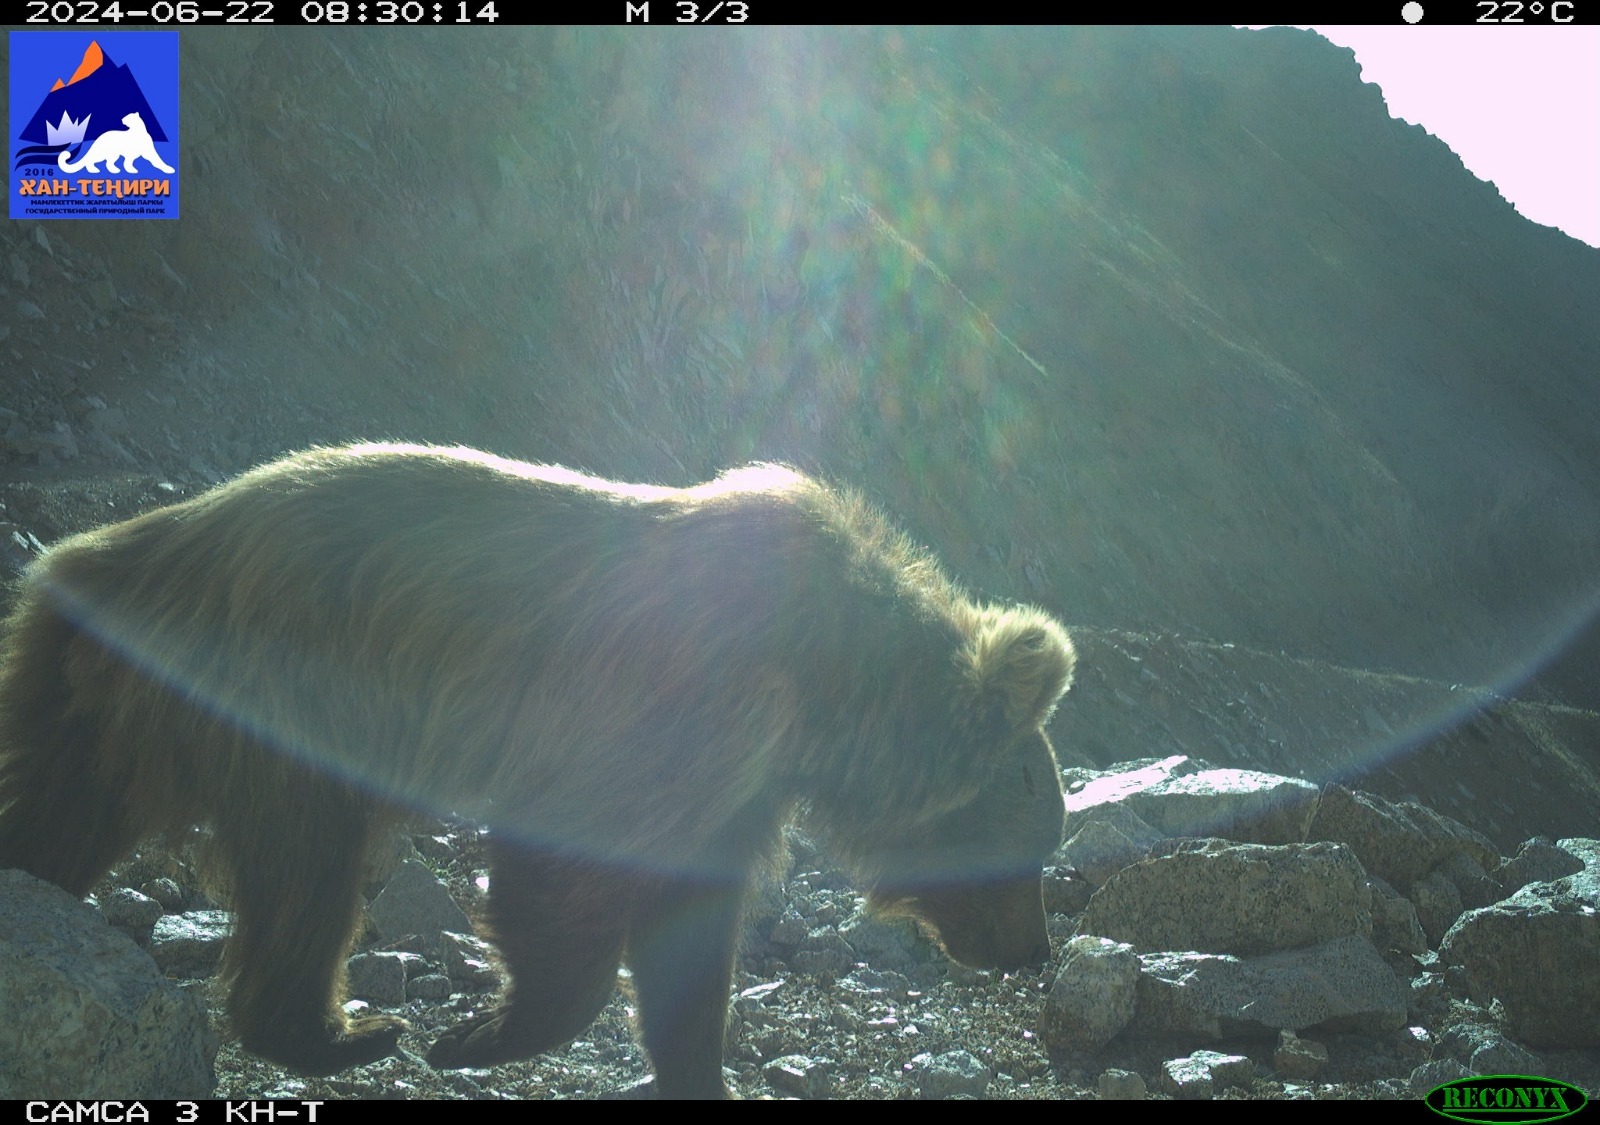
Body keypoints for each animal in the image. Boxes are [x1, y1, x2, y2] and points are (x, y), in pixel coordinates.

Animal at [0, 443, 1075, 1099]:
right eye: (1030, 846)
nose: (1031, 949)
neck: (830, 692)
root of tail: (97, 552)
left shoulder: (734, 780)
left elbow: (690, 936)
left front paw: (697, 1065)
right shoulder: (674, 702)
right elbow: (571, 869)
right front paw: (480, 1032)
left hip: (109, 707)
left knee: (64, 812)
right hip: (279, 688)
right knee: (309, 868)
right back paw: (349, 1028)